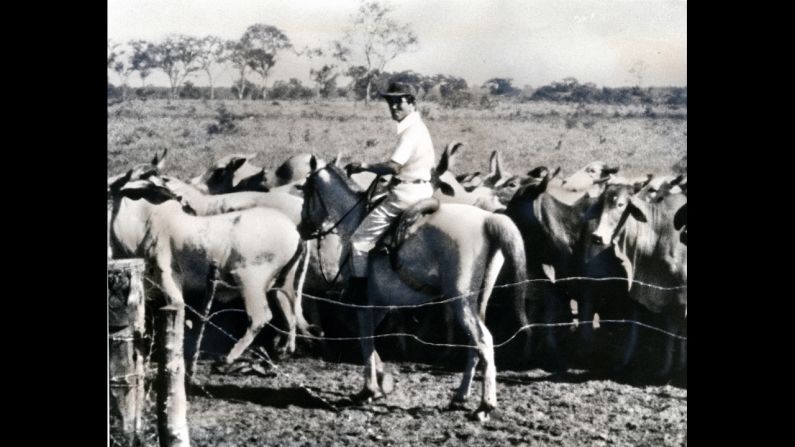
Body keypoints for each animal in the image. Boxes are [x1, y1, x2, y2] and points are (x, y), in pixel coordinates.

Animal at [580, 185, 688, 378]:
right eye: (601, 205)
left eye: (621, 205)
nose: (597, 237)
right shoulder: (668, 296)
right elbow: (671, 331)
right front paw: (666, 368)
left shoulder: (681, 297)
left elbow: (680, 330)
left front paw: (680, 367)